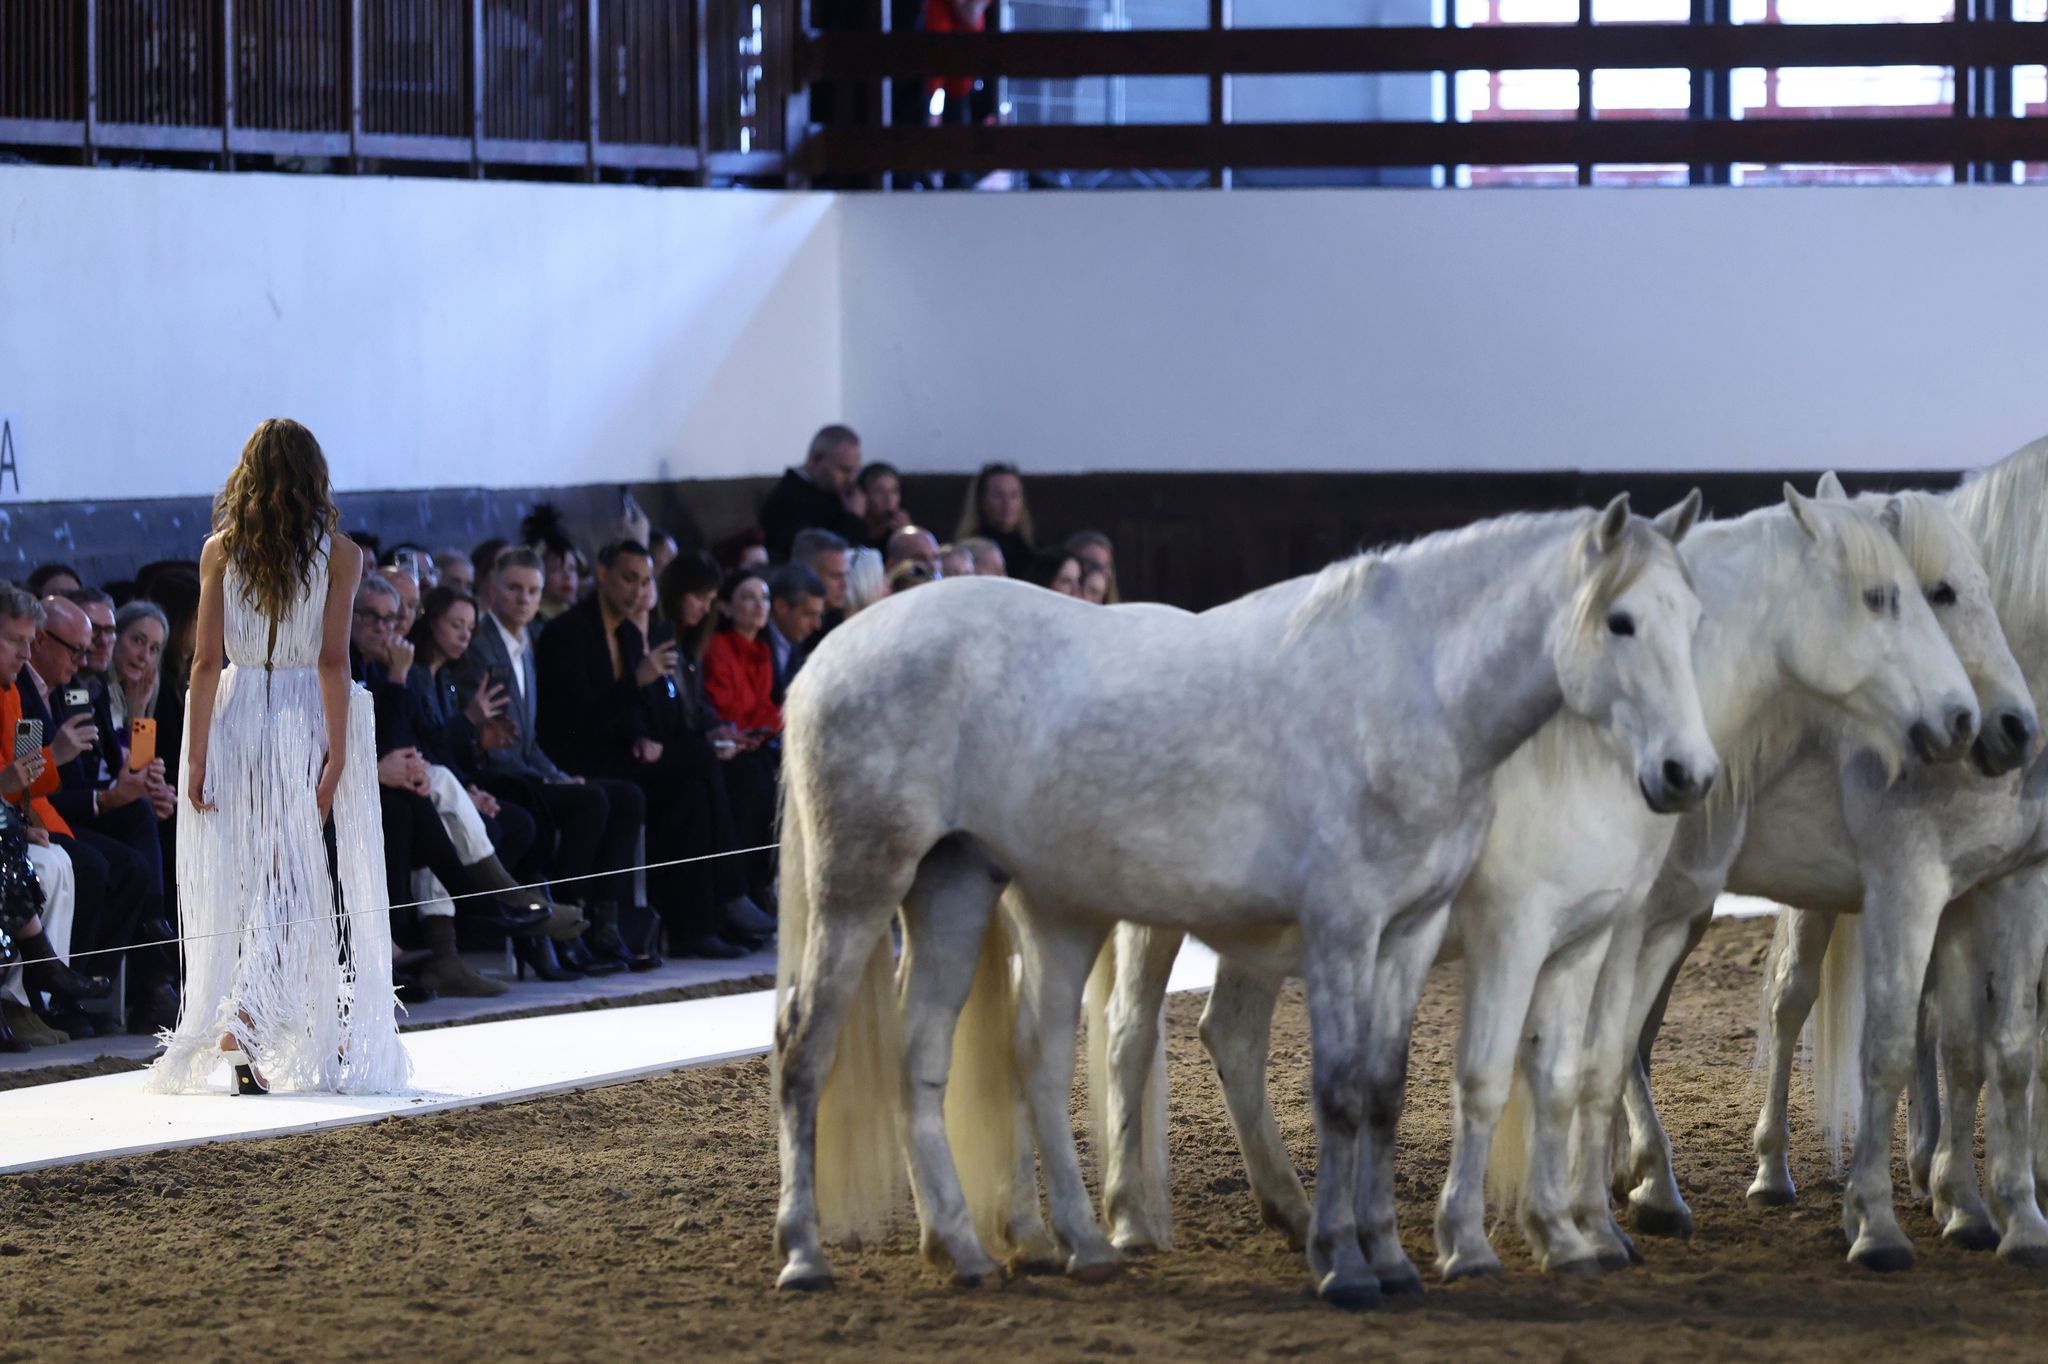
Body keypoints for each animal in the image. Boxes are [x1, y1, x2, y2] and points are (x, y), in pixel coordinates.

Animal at [771, 495, 1718, 1310]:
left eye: (1691, 620)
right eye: (1620, 621)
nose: (1686, 773)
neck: (1409, 696)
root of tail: (829, 653)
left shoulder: (1410, 935)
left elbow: (1387, 1090)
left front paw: (1393, 1257)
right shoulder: (1350, 930)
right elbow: (1342, 1092)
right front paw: (1345, 1265)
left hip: (966, 889)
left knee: (949, 1058)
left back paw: (998, 1249)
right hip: (862, 888)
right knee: (806, 1046)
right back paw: (806, 1254)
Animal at [1084, 483, 1982, 1287]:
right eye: (1883, 597)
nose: (1962, 721)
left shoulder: (1626, 929)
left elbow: (1586, 1069)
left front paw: (1590, 1226)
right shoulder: (1538, 929)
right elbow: (1551, 1070)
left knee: (1230, 1036)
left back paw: (1294, 1211)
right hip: (1157, 920)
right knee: (1130, 1039)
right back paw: (1127, 1220)